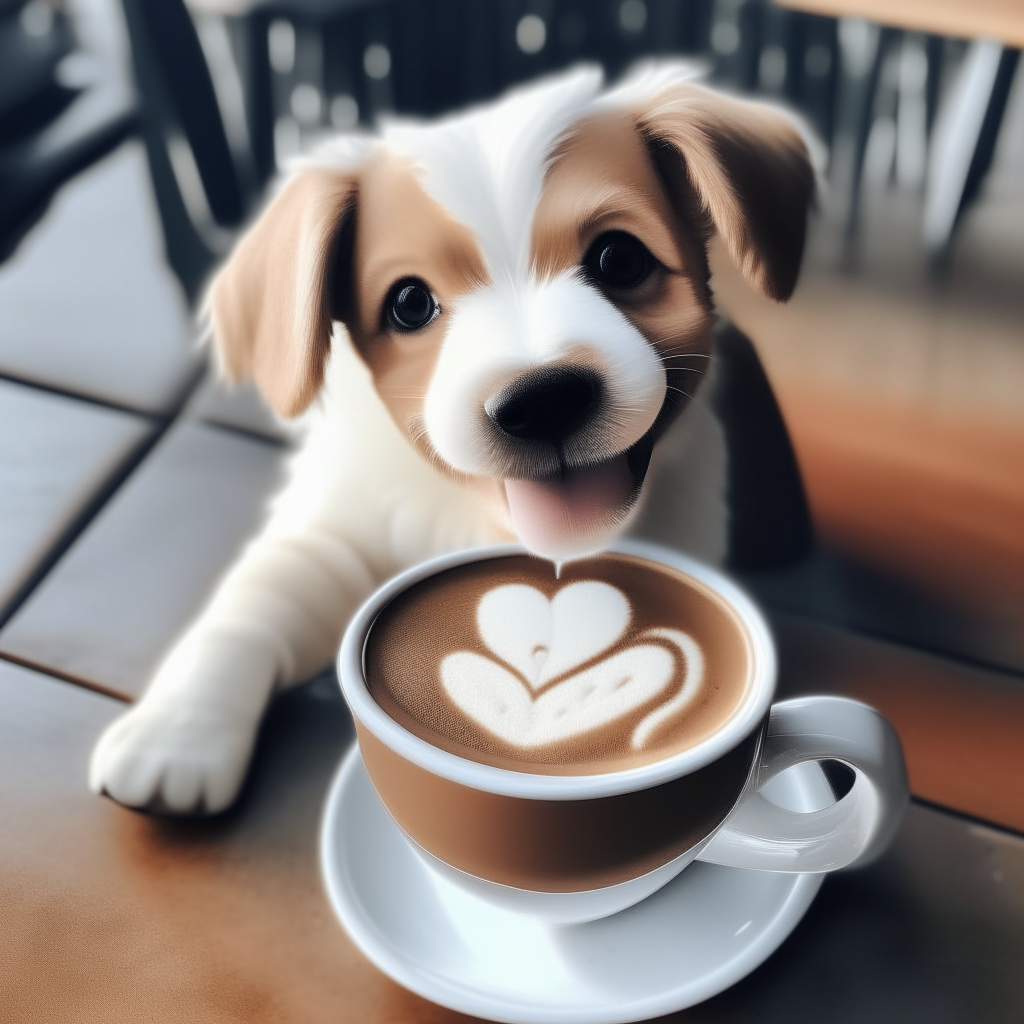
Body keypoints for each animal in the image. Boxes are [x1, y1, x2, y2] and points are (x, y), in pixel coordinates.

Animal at [88, 64, 811, 815]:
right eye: (410, 303)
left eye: (619, 259)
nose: (543, 399)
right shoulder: (331, 537)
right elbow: (249, 610)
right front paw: (178, 731)